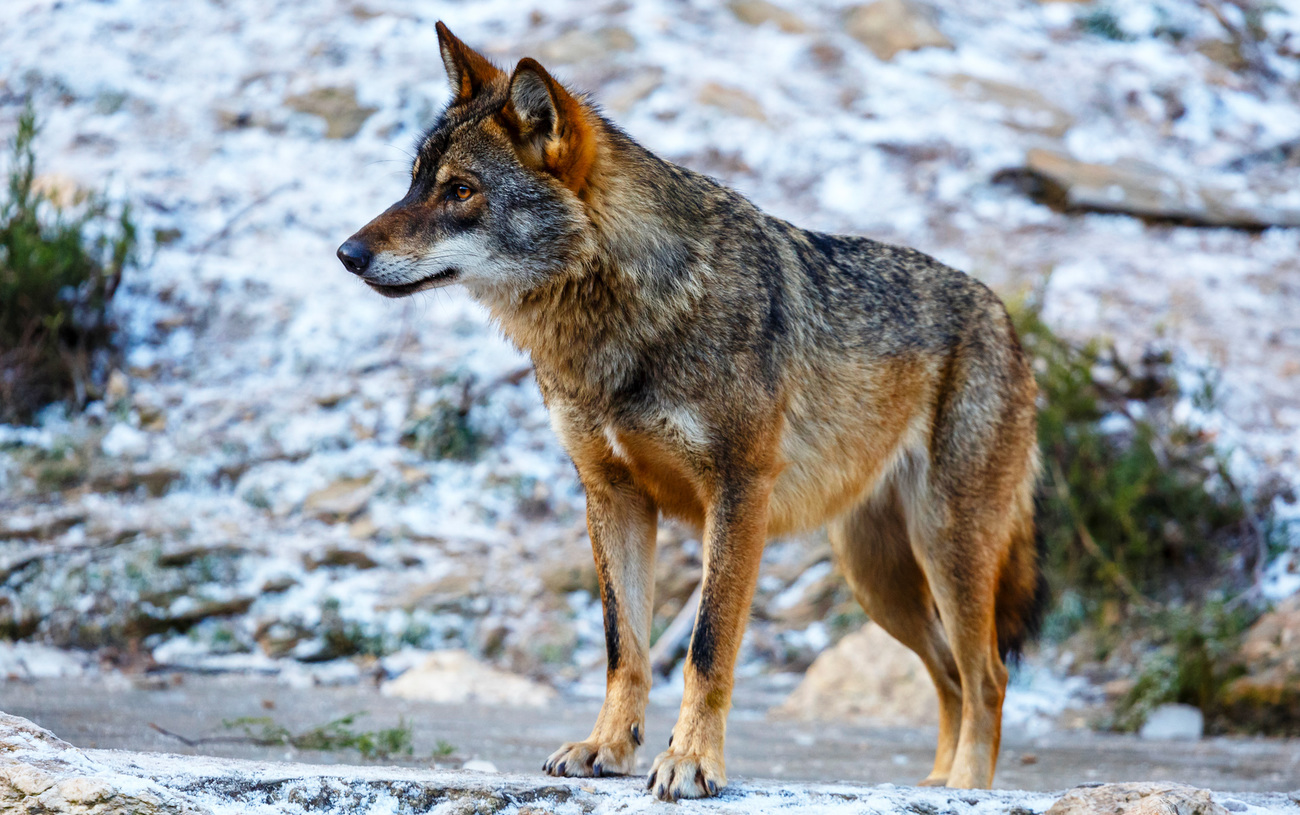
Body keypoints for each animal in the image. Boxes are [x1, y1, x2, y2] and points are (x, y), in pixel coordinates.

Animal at [338, 22, 1045, 800]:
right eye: (413, 180)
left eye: (461, 190)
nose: (346, 252)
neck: (624, 318)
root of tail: (1004, 318)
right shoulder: (612, 495)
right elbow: (624, 647)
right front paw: (606, 747)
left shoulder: (738, 494)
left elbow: (706, 649)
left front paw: (692, 762)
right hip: (879, 579)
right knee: (950, 675)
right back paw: (937, 783)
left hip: (946, 550)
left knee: (988, 675)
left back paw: (967, 788)